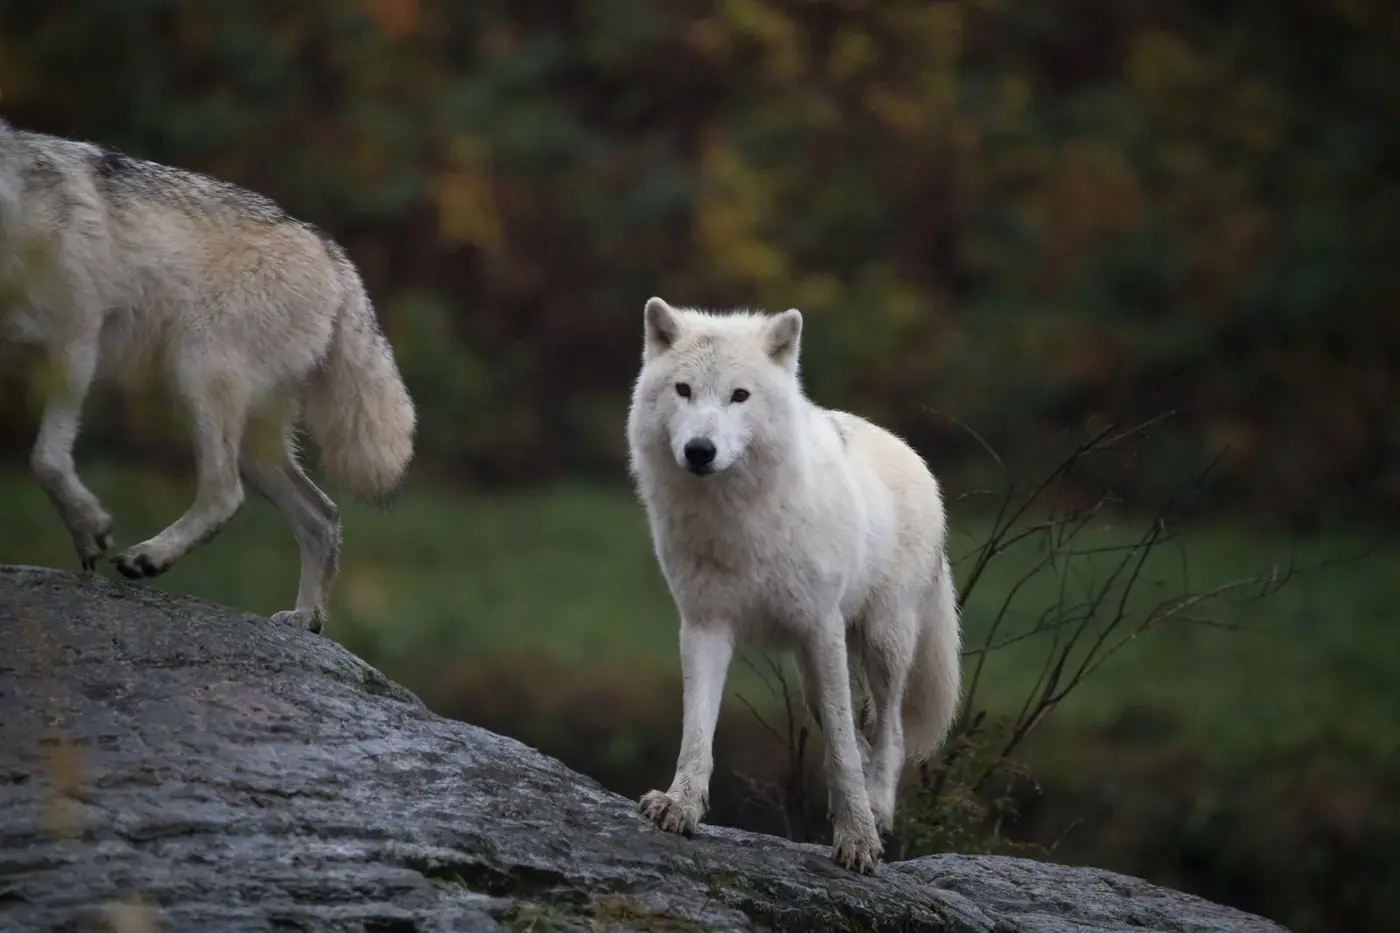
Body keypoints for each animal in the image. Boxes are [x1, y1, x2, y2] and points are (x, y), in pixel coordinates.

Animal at [0, 117, 416, 633]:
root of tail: (328, 247)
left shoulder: (76, 339)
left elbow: (46, 459)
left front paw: (89, 530)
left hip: (196, 374)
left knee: (226, 494)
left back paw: (149, 557)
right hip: (252, 444)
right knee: (322, 515)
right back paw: (305, 619)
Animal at [626, 297, 962, 874]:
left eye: (739, 395)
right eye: (684, 390)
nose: (699, 450)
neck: (736, 519)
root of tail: (911, 454)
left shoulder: (820, 628)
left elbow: (845, 755)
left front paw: (857, 840)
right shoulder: (705, 626)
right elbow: (697, 731)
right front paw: (680, 805)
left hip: (881, 642)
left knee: (888, 734)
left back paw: (877, 810)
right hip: (810, 673)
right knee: (856, 732)